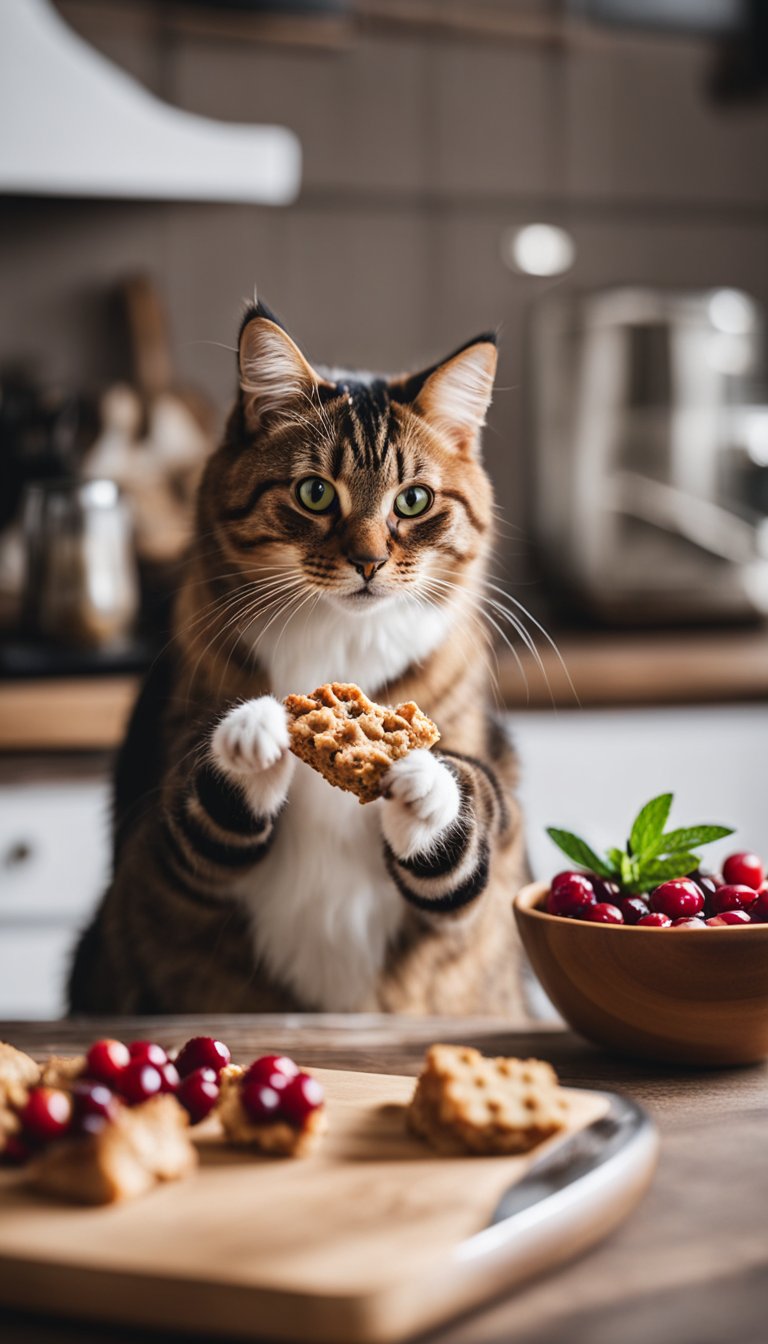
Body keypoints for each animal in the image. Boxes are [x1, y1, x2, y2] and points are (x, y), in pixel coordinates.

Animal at [70, 299, 529, 1010]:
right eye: (315, 493)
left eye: (414, 500)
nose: (369, 561)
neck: (340, 639)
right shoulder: (167, 832)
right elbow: (200, 820)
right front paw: (252, 735)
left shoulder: (477, 840)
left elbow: (470, 820)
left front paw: (425, 781)